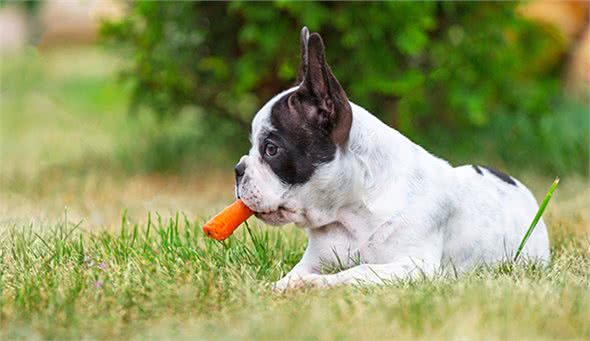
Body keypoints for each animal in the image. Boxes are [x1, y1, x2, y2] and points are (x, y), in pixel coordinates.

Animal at [235, 27, 552, 290]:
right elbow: (293, 276)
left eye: (271, 149)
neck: (350, 213)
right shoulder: (313, 260)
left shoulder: (413, 267)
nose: (238, 169)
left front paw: (315, 284)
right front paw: (282, 287)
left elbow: (357, 272)